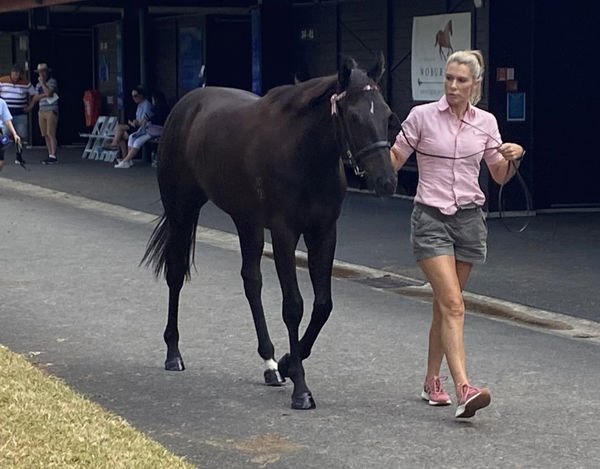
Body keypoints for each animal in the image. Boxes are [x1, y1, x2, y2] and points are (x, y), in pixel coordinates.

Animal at [144, 54, 398, 408]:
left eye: (387, 115)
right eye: (354, 115)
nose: (386, 182)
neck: (304, 154)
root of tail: (185, 106)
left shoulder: (323, 233)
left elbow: (323, 305)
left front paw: (289, 362)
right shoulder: (284, 233)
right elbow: (294, 306)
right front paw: (301, 388)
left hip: (246, 221)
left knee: (252, 282)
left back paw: (270, 363)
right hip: (182, 209)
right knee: (176, 273)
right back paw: (173, 352)